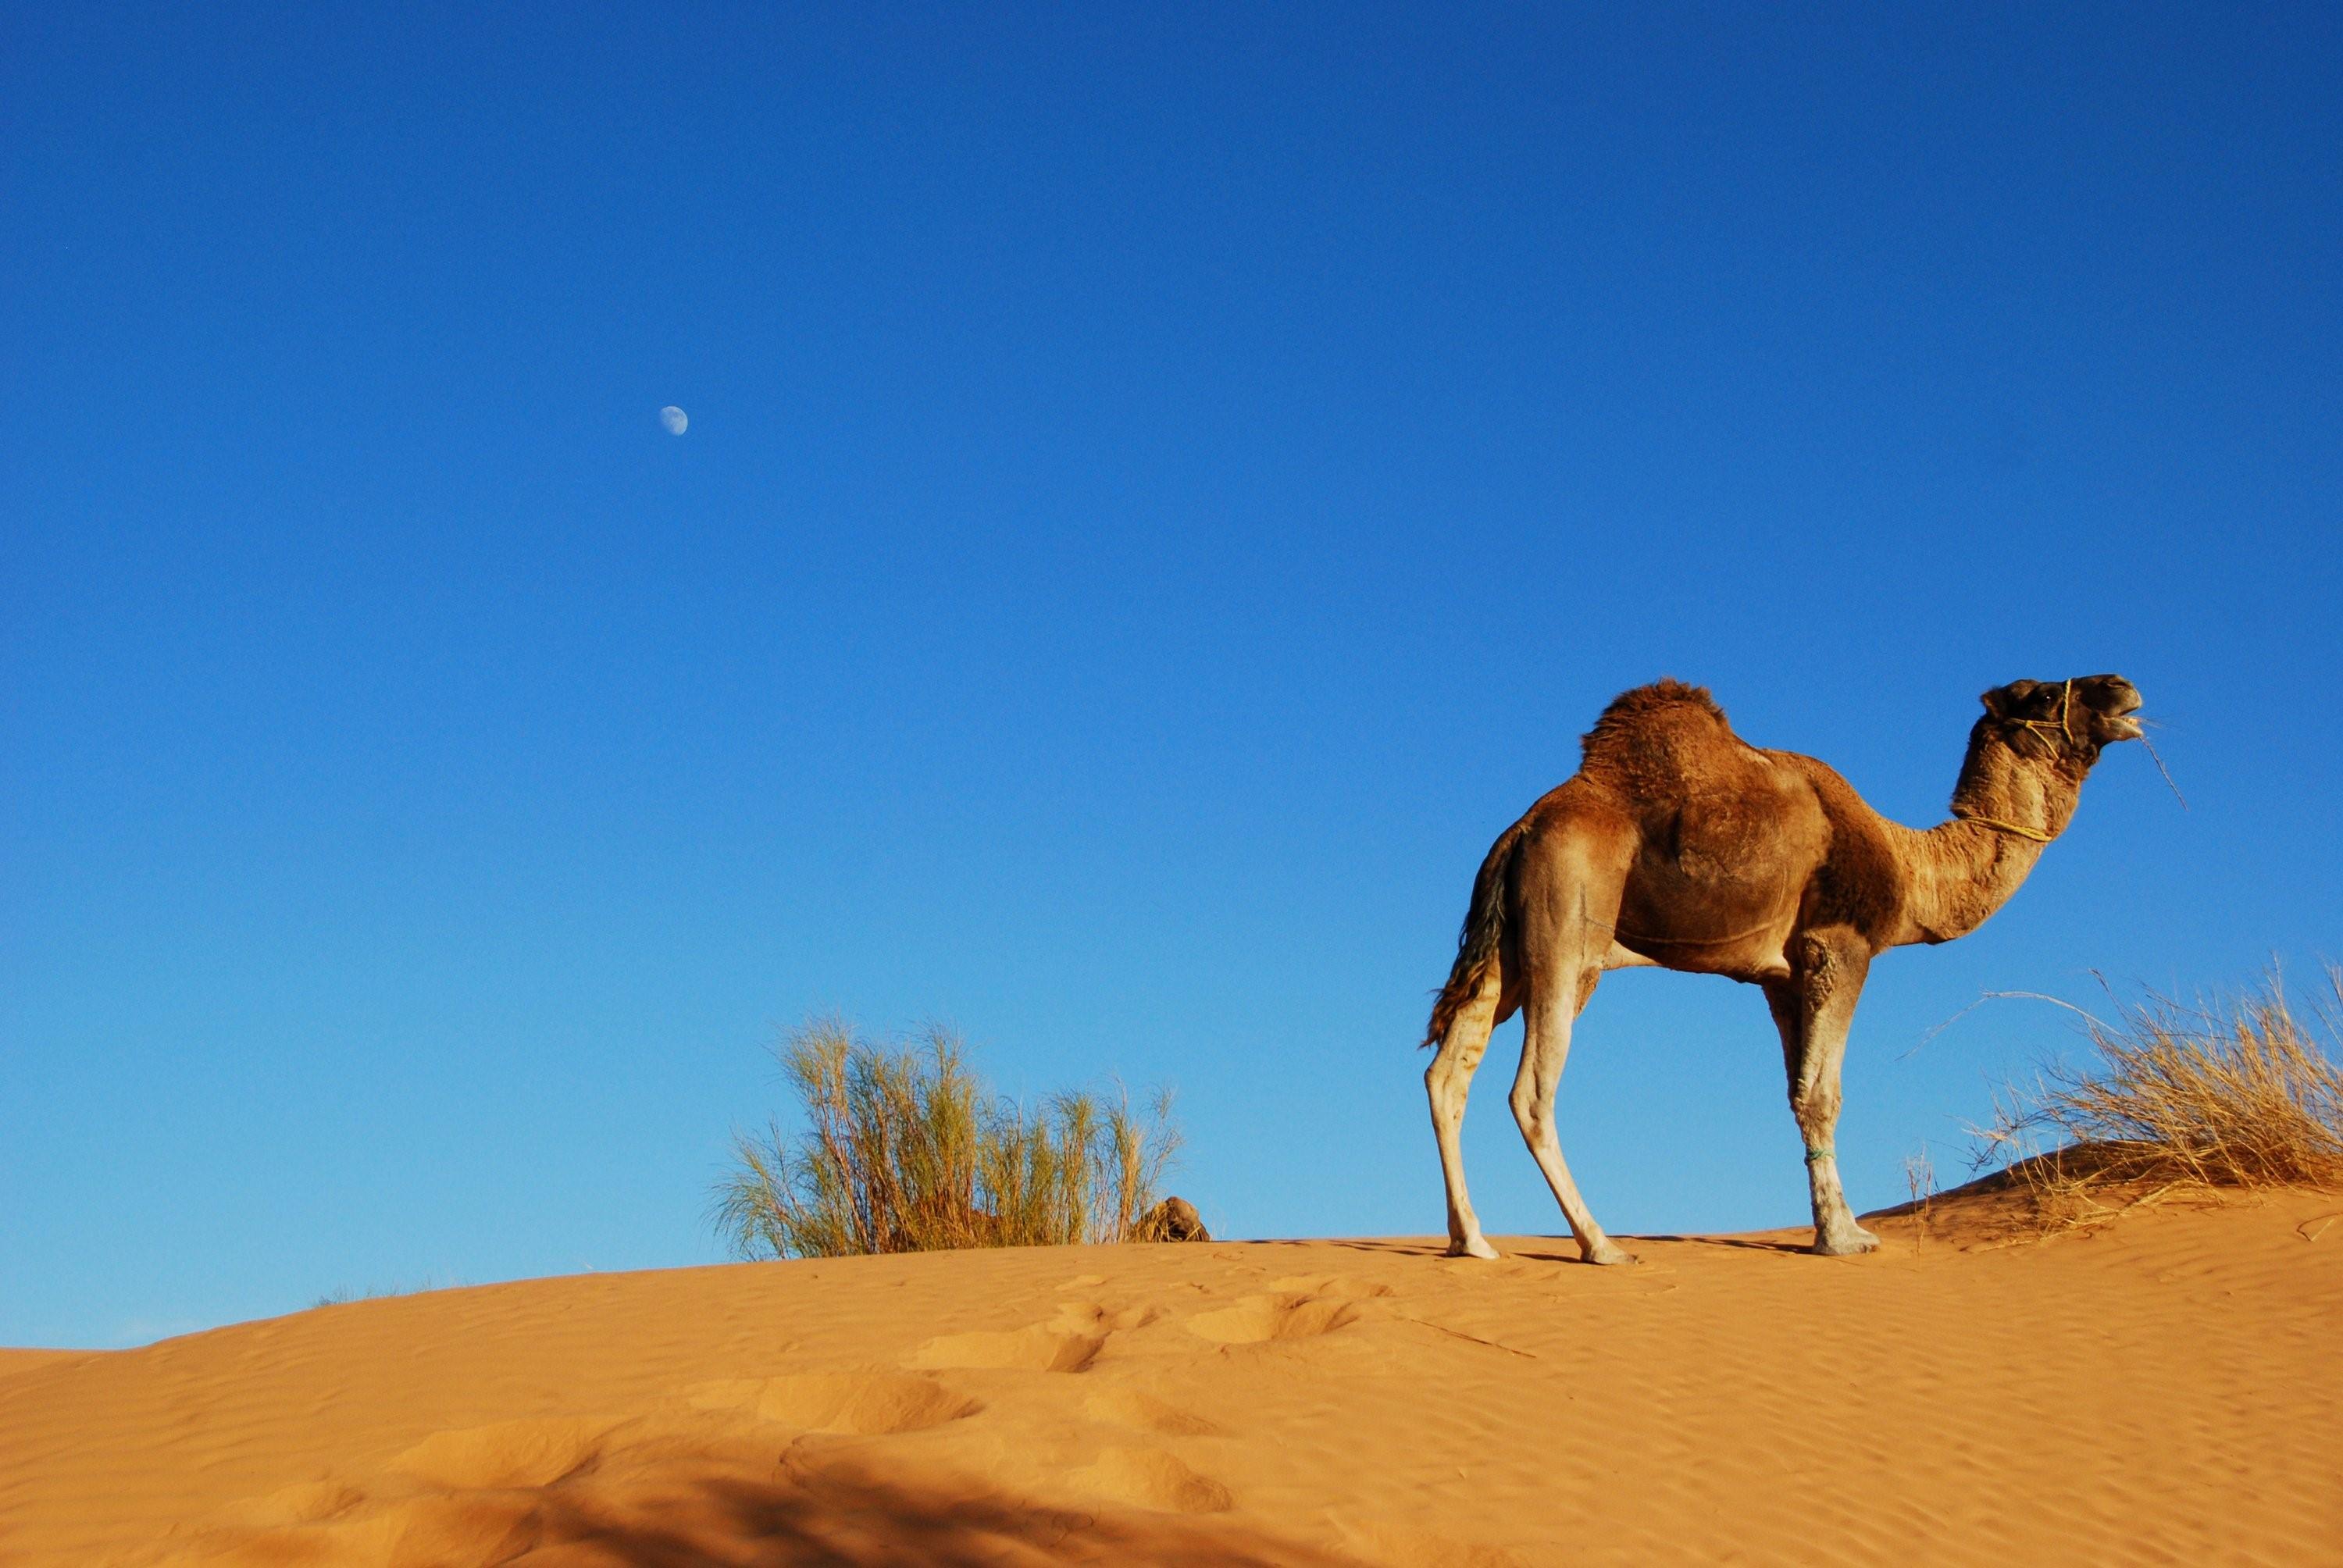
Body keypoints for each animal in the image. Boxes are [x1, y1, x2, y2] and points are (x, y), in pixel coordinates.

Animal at [1415, 675, 2146, 1256]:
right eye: (2047, 695)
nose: (2123, 688)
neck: (1907, 866)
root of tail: (1520, 833)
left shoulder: (1781, 976)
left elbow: (1798, 1094)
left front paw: (1834, 1226)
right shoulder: (1839, 946)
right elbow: (1826, 1094)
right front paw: (1845, 1239)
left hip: (1507, 955)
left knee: (1448, 1072)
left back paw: (1472, 1241)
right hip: (1568, 931)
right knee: (1532, 1090)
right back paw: (1601, 1244)